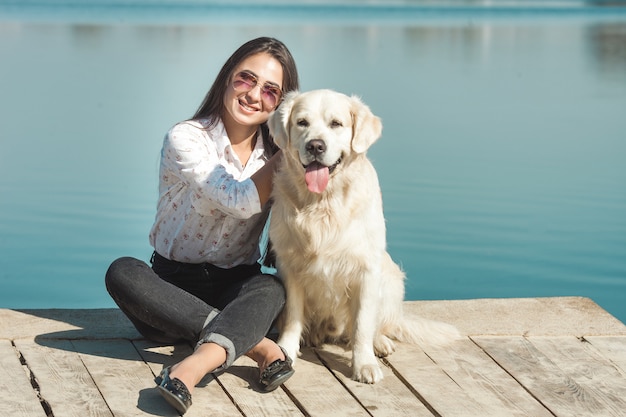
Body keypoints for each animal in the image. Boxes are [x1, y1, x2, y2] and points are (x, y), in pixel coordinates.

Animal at [264, 89, 458, 382]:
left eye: (336, 124)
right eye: (302, 123)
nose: (316, 146)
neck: (323, 203)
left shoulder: (366, 270)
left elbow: (363, 325)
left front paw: (364, 364)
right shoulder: (290, 266)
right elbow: (293, 317)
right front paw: (286, 351)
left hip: (390, 279)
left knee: (376, 325)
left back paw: (380, 343)